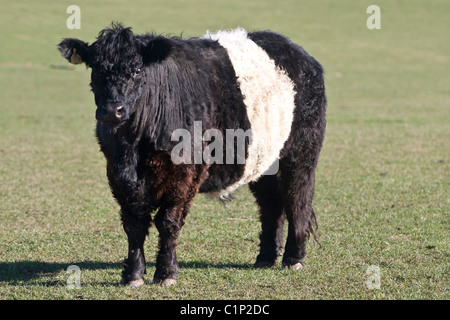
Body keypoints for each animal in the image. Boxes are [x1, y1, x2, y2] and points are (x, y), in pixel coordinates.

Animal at [59, 23, 326, 288]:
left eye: (136, 70)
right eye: (95, 70)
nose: (112, 110)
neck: (134, 147)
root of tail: (301, 55)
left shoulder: (184, 174)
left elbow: (168, 222)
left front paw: (166, 274)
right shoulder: (117, 173)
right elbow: (134, 224)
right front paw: (133, 275)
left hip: (300, 155)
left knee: (297, 200)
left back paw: (293, 258)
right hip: (264, 162)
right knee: (271, 205)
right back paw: (266, 258)